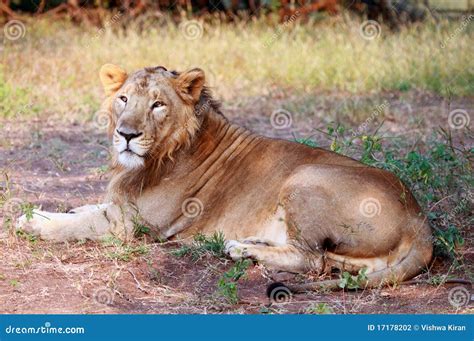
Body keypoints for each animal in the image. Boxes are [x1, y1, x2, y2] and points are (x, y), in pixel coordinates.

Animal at [17, 63, 434, 290]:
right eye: (123, 99)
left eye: (157, 105)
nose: (126, 134)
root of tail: (419, 220)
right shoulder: (120, 206)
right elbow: (85, 208)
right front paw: (52, 212)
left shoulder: (133, 226)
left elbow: (77, 224)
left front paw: (30, 221)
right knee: (331, 261)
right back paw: (251, 243)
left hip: (305, 177)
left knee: (312, 260)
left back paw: (240, 249)